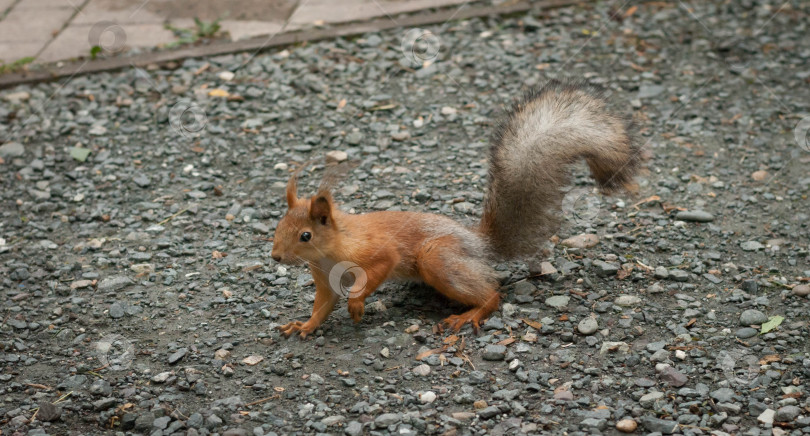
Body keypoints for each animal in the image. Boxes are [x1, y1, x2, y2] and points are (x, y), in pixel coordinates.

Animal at [272, 79, 644, 338]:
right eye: (277, 228)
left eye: (305, 235)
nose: (275, 257)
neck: (330, 251)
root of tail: (479, 244)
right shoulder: (325, 279)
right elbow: (323, 306)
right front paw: (305, 326)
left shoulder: (375, 252)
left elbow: (379, 268)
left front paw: (357, 304)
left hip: (437, 257)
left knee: (493, 293)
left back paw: (470, 314)